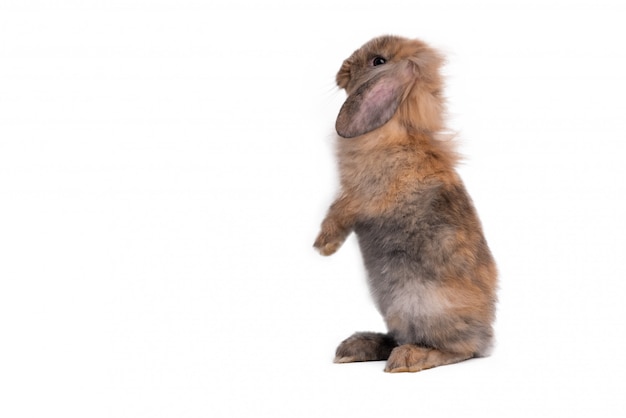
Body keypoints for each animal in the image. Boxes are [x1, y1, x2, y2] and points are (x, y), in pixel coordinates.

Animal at [312, 36, 498, 374]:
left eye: (378, 61)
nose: (341, 70)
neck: (395, 129)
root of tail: (485, 336)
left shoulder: (361, 197)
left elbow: (339, 212)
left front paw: (323, 246)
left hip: (425, 307)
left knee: (460, 350)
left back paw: (408, 358)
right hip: (396, 311)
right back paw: (357, 347)